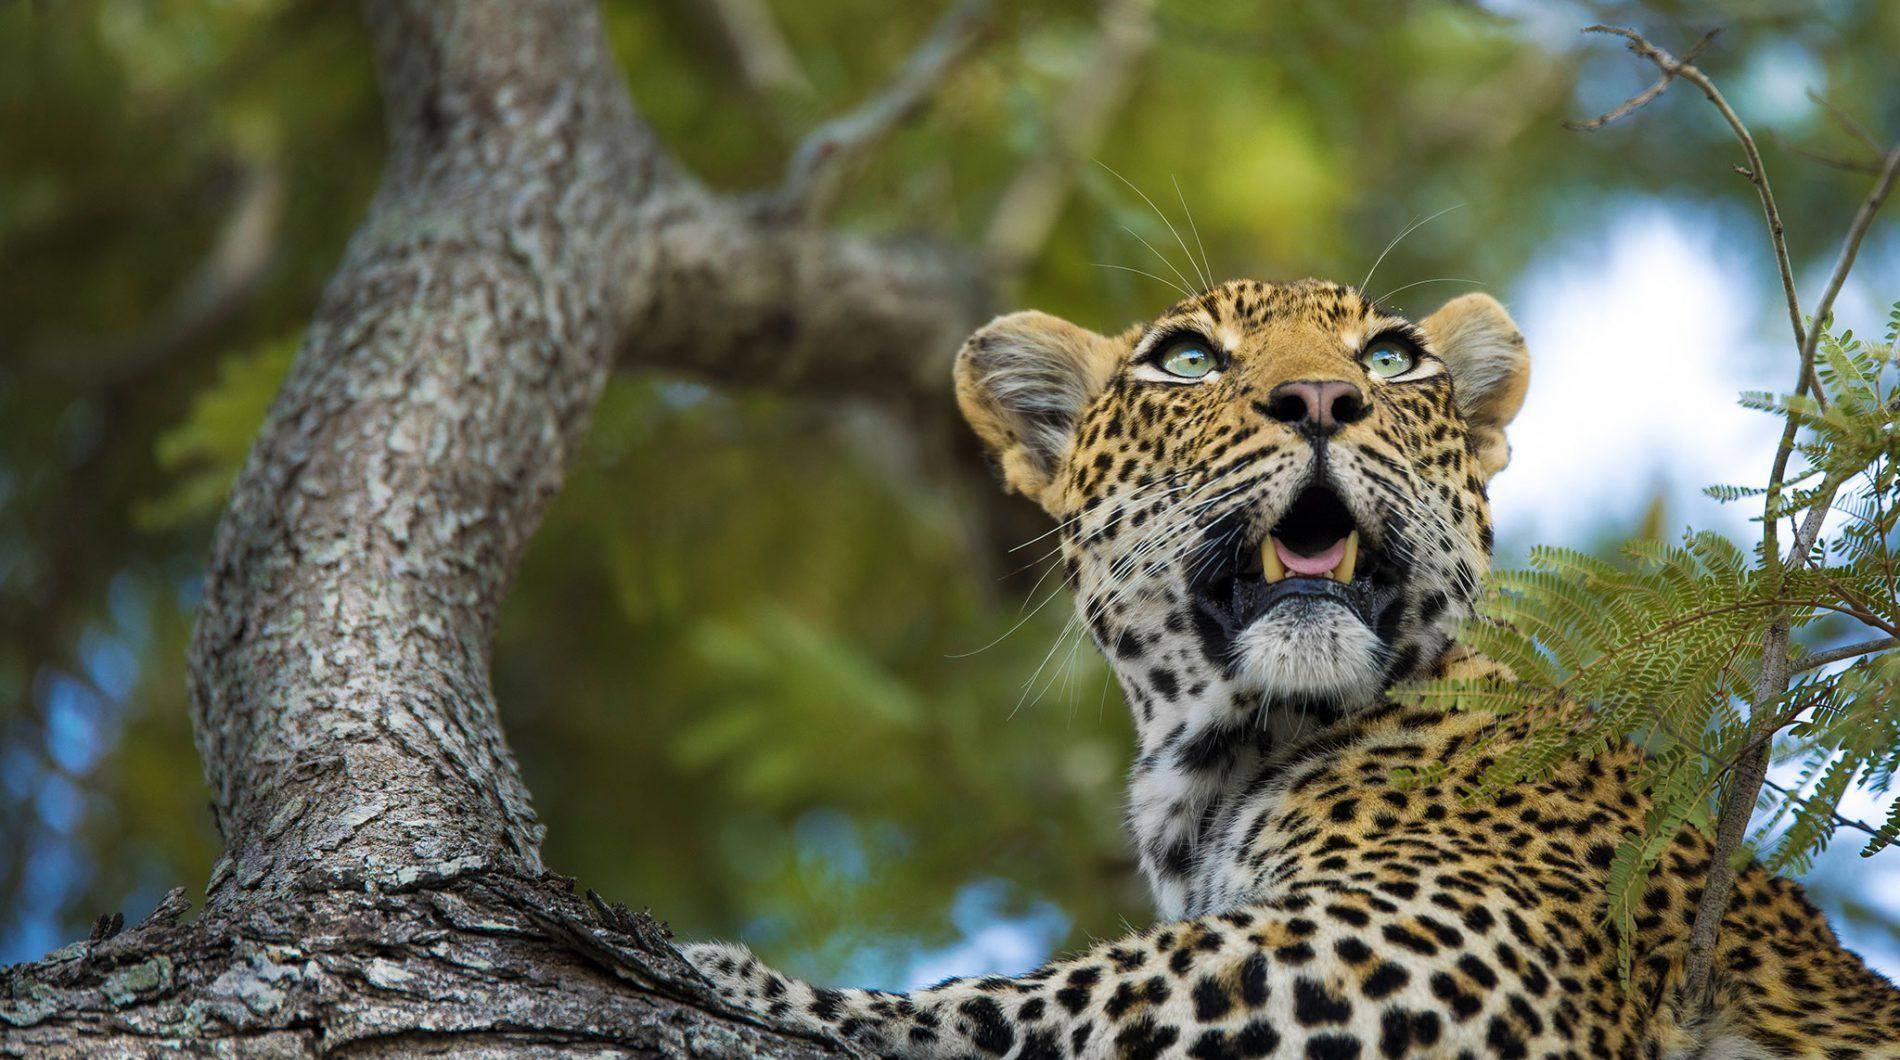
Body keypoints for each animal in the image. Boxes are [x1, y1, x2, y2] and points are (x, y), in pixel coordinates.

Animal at [676, 279, 1892, 1056]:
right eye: (1185, 359)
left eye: (1391, 358)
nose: (1318, 401)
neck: (1207, 764)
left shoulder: (1437, 944)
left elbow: (1055, 995)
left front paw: (751, 982)